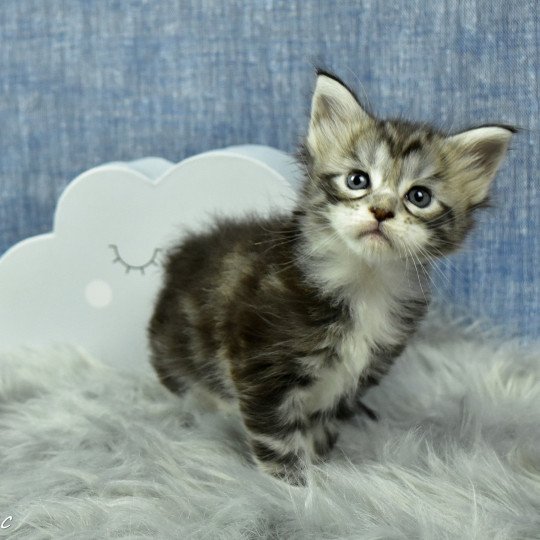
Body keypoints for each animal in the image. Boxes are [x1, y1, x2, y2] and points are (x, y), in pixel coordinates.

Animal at [148, 70, 516, 486]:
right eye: (358, 180)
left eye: (419, 196)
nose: (381, 211)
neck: (365, 283)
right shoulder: (263, 370)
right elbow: (277, 436)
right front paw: (294, 486)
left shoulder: (352, 376)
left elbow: (319, 426)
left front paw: (324, 466)